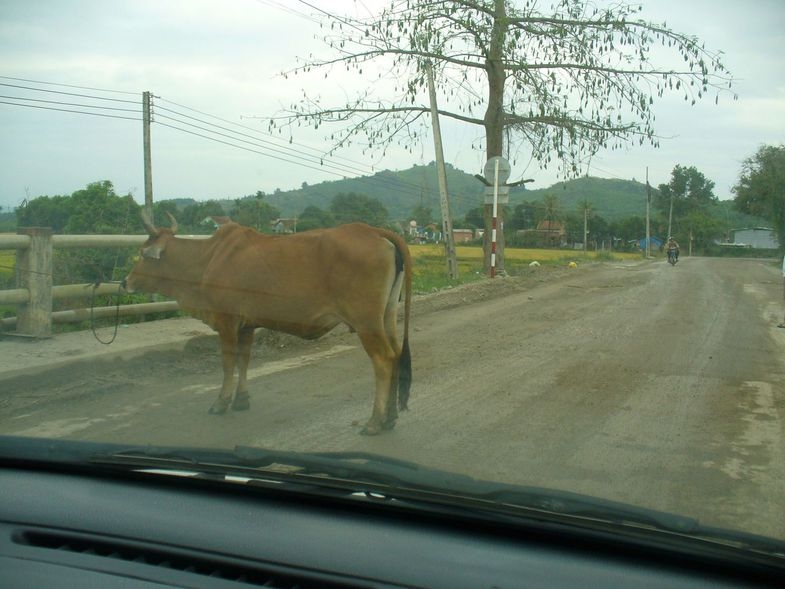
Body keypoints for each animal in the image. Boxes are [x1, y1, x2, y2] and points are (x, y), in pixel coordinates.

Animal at [122, 214, 410, 434]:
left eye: (143, 254)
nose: (125, 282)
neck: (207, 258)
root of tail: (374, 231)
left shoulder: (227, 321)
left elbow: (228, 364)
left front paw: (221, 402)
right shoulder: (246, 326)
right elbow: (244, 361)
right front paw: (241, 399)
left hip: (366, 322)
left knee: (383, 360)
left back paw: (375, 421)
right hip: (386, 317)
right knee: (396, 354)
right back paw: (391, 417)